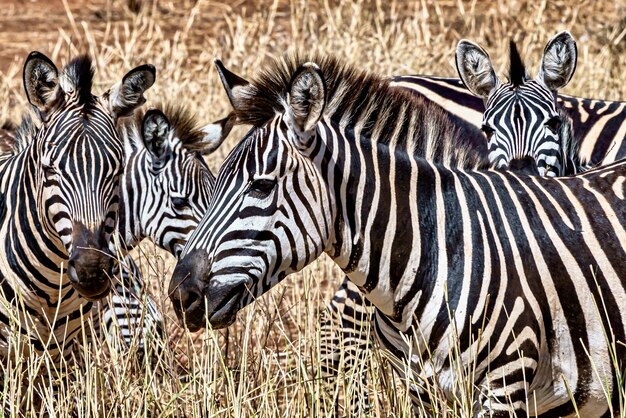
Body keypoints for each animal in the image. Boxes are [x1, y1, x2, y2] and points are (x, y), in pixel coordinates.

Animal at [168, 54, 624, 414]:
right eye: (215, 183)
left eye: (261, 187)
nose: (180, 294)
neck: (442, 250)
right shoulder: (420, 390)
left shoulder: (507, 387)